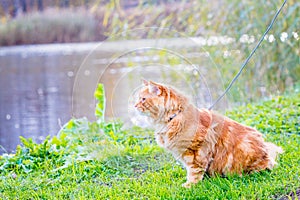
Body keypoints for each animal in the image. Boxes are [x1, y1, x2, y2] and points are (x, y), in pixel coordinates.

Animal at [135, 79, 282, 188]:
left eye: (143, 99)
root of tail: (266, 151)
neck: (173, 117)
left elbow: (193, 172)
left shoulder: (194, 152)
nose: (134, 106)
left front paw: (189, 185)